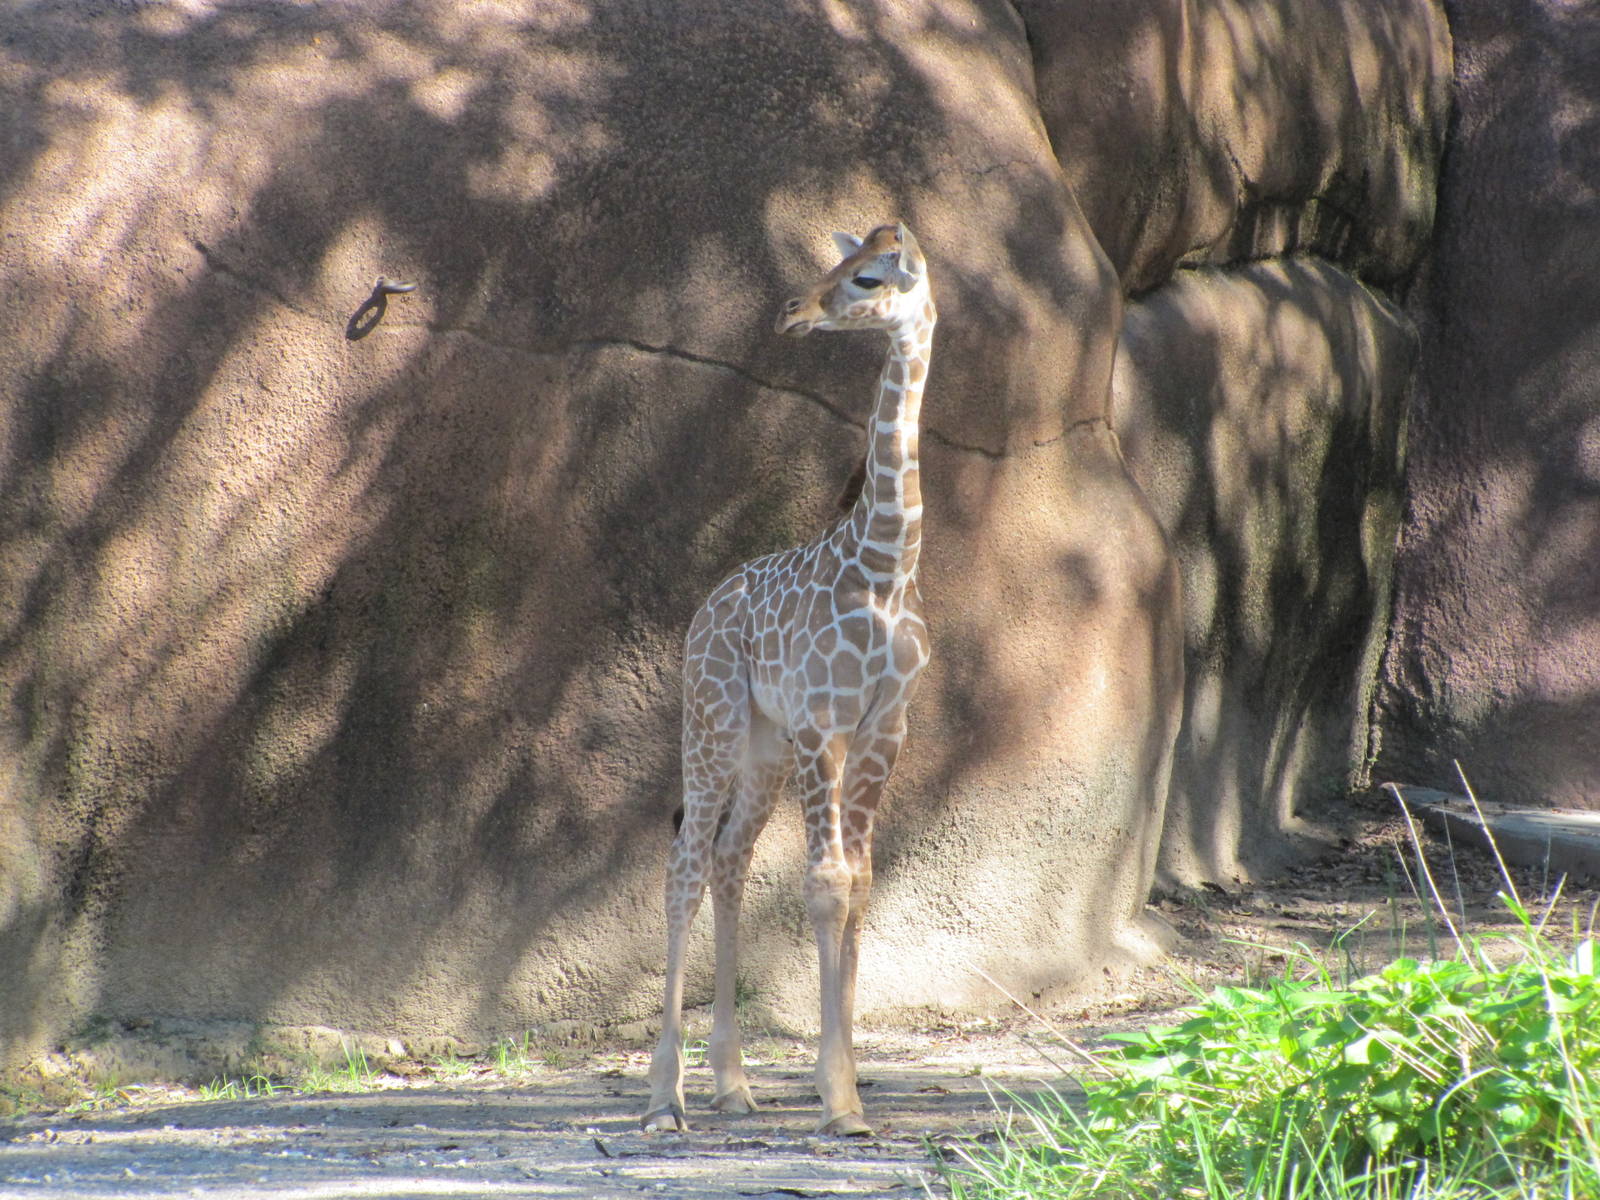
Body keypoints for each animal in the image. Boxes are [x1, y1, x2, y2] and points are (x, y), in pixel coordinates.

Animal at [643, 224, 937, 1138]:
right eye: (837, 263)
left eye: (868, 276)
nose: (793, 309)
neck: (883, 570)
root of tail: (705, 608)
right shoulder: (822, 723)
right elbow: (825, 883)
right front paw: (837, 1098)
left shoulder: (883, 729)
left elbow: (860, 881)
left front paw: (844, 1091)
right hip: (713, 723)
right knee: (686, 864)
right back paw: (665, 1098)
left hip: (762, 746)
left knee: (731, 859)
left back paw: (732, 1085)